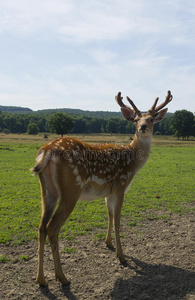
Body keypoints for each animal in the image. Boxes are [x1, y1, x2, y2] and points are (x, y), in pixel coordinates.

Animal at [31, 89, 173, 286]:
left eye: (151, 119)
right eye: (136, 119)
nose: (143, 127)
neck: (133, 161)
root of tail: (46, 151)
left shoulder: (108, 191)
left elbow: (110, 216)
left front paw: (108, 243)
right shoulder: (121, 185)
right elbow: (118, 221)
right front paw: (121, 256)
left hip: (47, 191)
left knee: (41, 227)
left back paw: (41, 279)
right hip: (71, 189)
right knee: (52, 227)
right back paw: (62, 277)